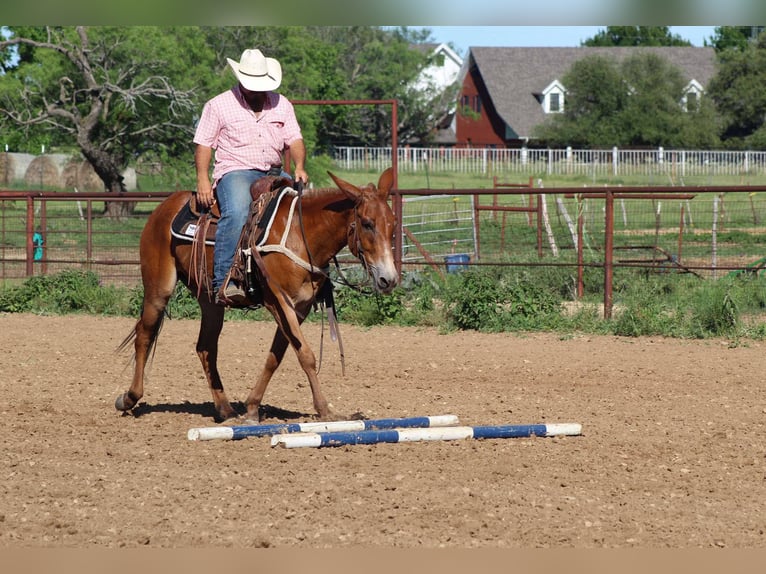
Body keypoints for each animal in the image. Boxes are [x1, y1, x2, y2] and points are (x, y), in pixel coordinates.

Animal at [115, 167, 398, 423]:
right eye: (367, 224)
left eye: (393, 225)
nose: (389, 279)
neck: (301, 233)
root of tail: (165, 206)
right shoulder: (279, 301)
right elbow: (306, 355)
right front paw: (325, 411)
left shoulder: (300, 308)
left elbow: (276, 356)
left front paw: (252, 408)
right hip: (158, 288)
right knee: (144, 333)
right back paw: (129, 397)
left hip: (210, 300)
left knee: (205, 347)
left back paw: (226, 410)